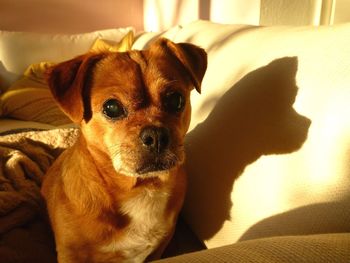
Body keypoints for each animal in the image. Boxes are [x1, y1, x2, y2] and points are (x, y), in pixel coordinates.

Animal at [40, 37, 206, 263]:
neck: (143, 188)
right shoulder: (71, 254)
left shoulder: (160, 246)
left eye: (176, 100)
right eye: (111, 108)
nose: (156, 136)